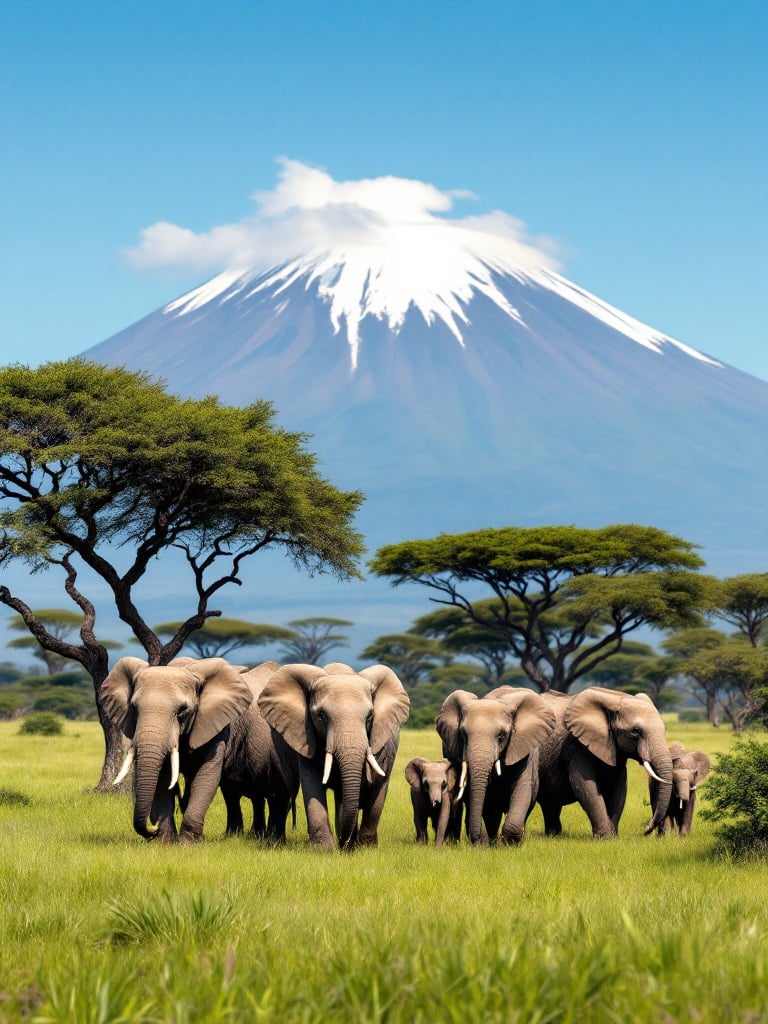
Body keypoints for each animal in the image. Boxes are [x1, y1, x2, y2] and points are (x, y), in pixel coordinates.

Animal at [102, 655, 256, 839]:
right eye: (133, 707)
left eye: (182, 710)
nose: (152, 828)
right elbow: (163, 777)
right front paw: (167, 840)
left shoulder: (217, 725)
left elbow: (207, 774)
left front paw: (187, 842)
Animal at [259, 663, 411, 847]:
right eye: (321, 715)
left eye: (370, 716)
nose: (343, 841)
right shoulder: (305, 737)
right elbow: (312, 783)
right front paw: (323, 848)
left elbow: (370, 788)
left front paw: (356, 847)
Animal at [436, 684, 557, 843]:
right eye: (463, 734)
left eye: (501, 736)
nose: (476, 838)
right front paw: (484, 843)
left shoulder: (524, 751)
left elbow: (522, 787)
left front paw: (510, 844)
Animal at [536, 684, 671, 835]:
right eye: (636, 731)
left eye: (664, 729)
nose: (646, 830)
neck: (614, 698)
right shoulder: (577, 745)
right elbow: (585, 786)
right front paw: (604, 837)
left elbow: (619, 788)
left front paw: (613, 836)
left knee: (550, 803)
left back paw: (553, 835)